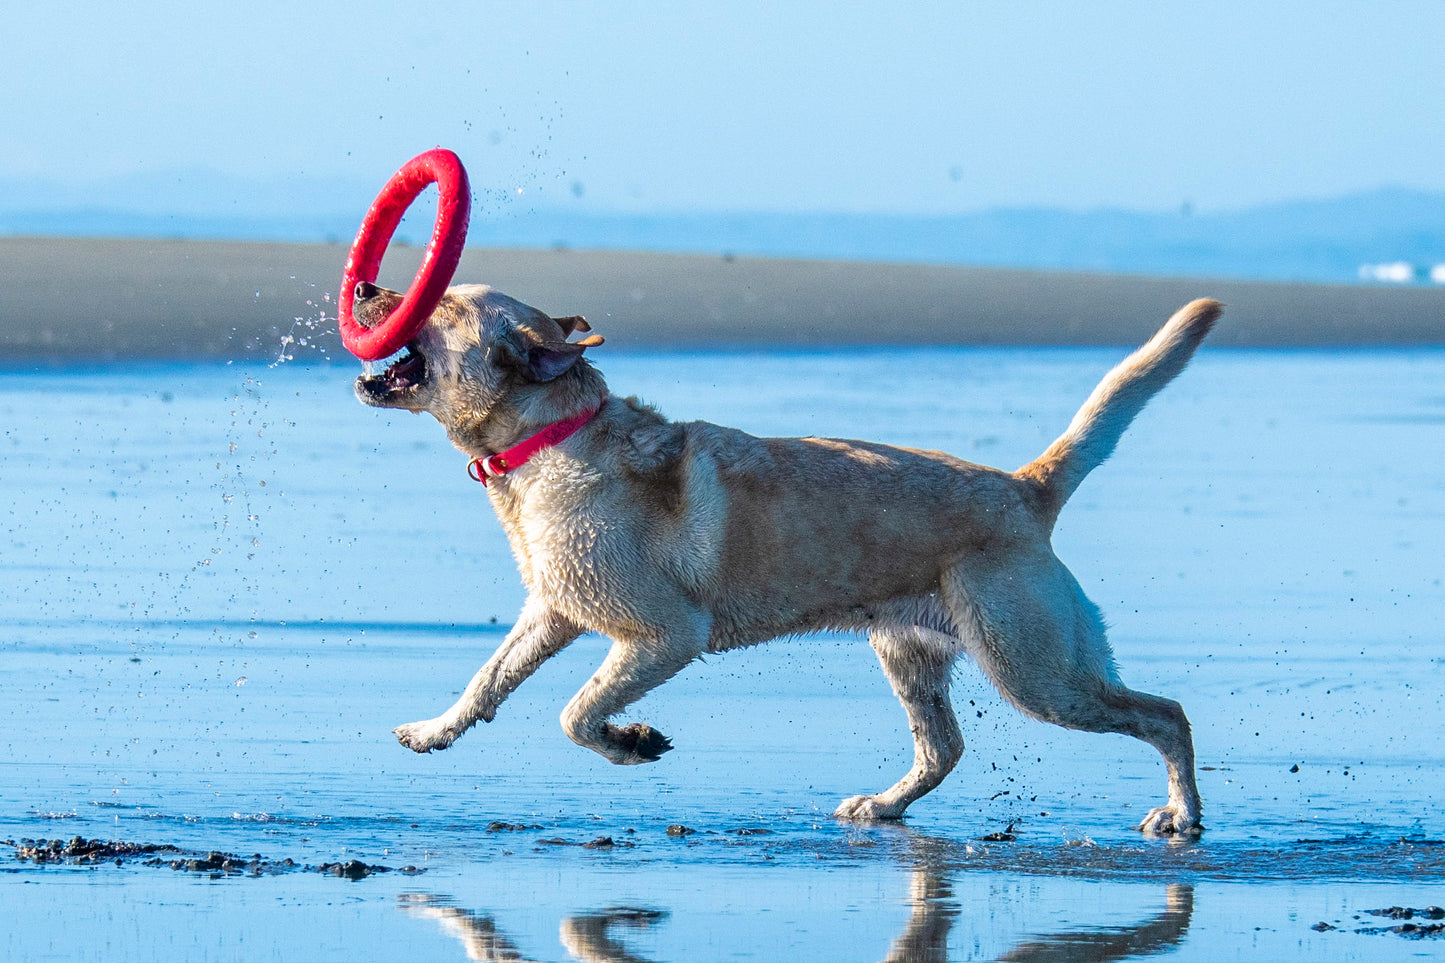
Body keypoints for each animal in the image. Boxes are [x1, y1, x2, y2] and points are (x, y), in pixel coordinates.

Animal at [349, 279, 1219, 832]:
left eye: (445, 303)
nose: (364, 290)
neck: (551, 437)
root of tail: (1024, 484)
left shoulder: (663, 634)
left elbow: (576, 712)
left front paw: (630, 742)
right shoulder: (552, 611)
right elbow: (486, 676)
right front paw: (433, 729)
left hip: (1033, 668)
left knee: (1165, 712)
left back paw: (1181, 814)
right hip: (910, 652)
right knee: (943, 747)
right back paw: (883, 805)